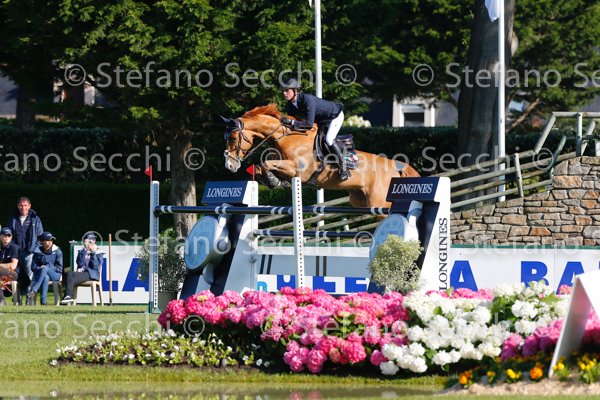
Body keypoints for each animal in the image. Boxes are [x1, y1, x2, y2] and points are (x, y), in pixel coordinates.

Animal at [221, 104, 420, 208]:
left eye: (232, 137)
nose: (230, 166)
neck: (288, 137)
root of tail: (395, 167)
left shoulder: (297, 170)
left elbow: (265, 163)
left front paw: (273, 181)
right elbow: (262, 165)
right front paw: (273, 181)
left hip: (380, 204)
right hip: (359, 200)